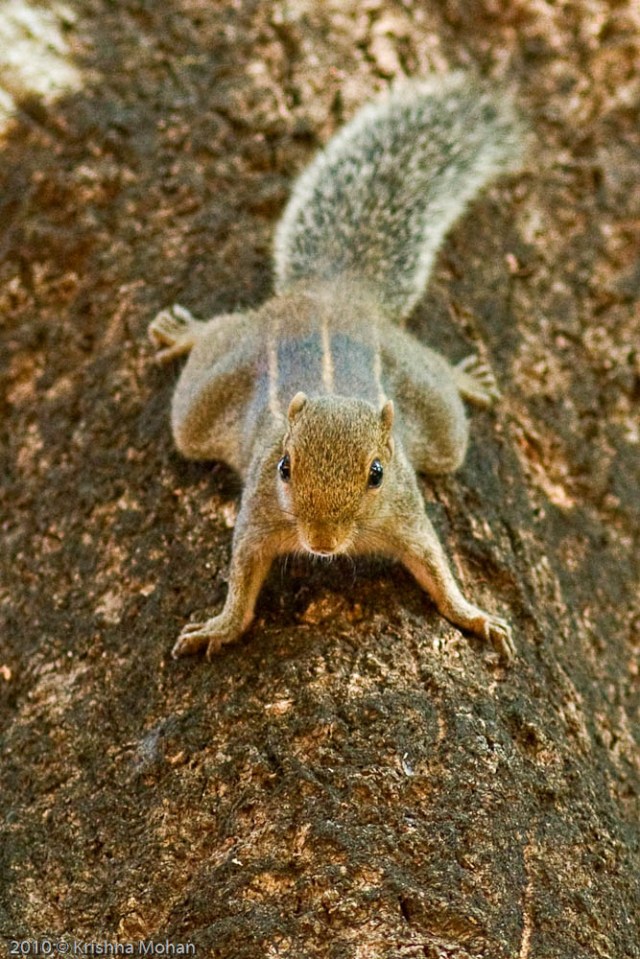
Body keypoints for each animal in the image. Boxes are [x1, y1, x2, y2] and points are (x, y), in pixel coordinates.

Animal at [148, 72, 525, 663]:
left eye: (377, 473)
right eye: (284, 467)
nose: (321, 542)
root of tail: (332, 293)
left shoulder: (406, 511)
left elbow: (437, 567)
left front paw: (474, 614)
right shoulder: (260, 511)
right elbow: (243, 576)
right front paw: (219, 626)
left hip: (437, 418)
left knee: (441, 391)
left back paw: (466, 377)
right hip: (207, 397)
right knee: (211, 348)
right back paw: (185, 332)